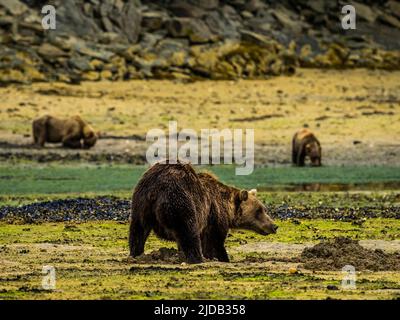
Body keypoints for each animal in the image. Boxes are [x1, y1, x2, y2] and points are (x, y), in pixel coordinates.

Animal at [129, 161, 278, 264]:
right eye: (259, 211)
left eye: (264, 209)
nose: (274, 226)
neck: (227, 206)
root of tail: (156, 188)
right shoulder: (214, 215)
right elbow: (214, 242)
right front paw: (222, 257)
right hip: (180, 199)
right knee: (187, 230)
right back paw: (197, 258)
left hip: (141, 202)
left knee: (138, 230)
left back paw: (136, 253)